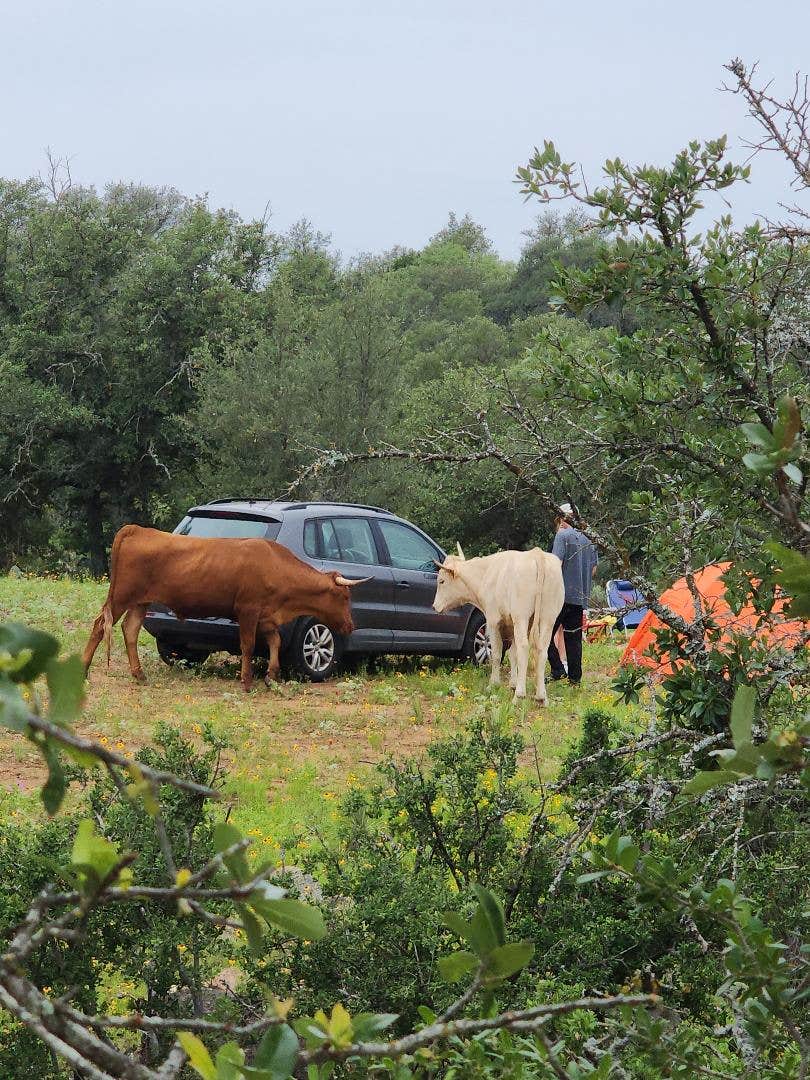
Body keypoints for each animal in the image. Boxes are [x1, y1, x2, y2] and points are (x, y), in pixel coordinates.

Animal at [82, 525, 366, 692]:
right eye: (344, 597)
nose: (351, 625)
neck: (275, 565)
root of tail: (137, 529)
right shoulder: (248, 610)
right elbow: (248, 645)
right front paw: (247, 681)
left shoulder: (266, 616)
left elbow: (274, 642)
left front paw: (271, 675)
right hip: (120, 597)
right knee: (100, 626)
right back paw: (83, 669)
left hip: (140, 602)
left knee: (130, 630)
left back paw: (139, 674)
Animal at [432, 544, 564, 704]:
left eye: (441, 581)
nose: (434, 606)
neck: (485, 574)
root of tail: (536, 554)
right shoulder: (512, 624)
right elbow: (512, 653)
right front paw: (512, 683)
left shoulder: (493, 620)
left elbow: (496, 653)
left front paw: (494, 684)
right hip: (548, 617)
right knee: (542, 650)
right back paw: (541, 697)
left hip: (521, 616)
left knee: (524, 647)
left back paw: (519, 695)